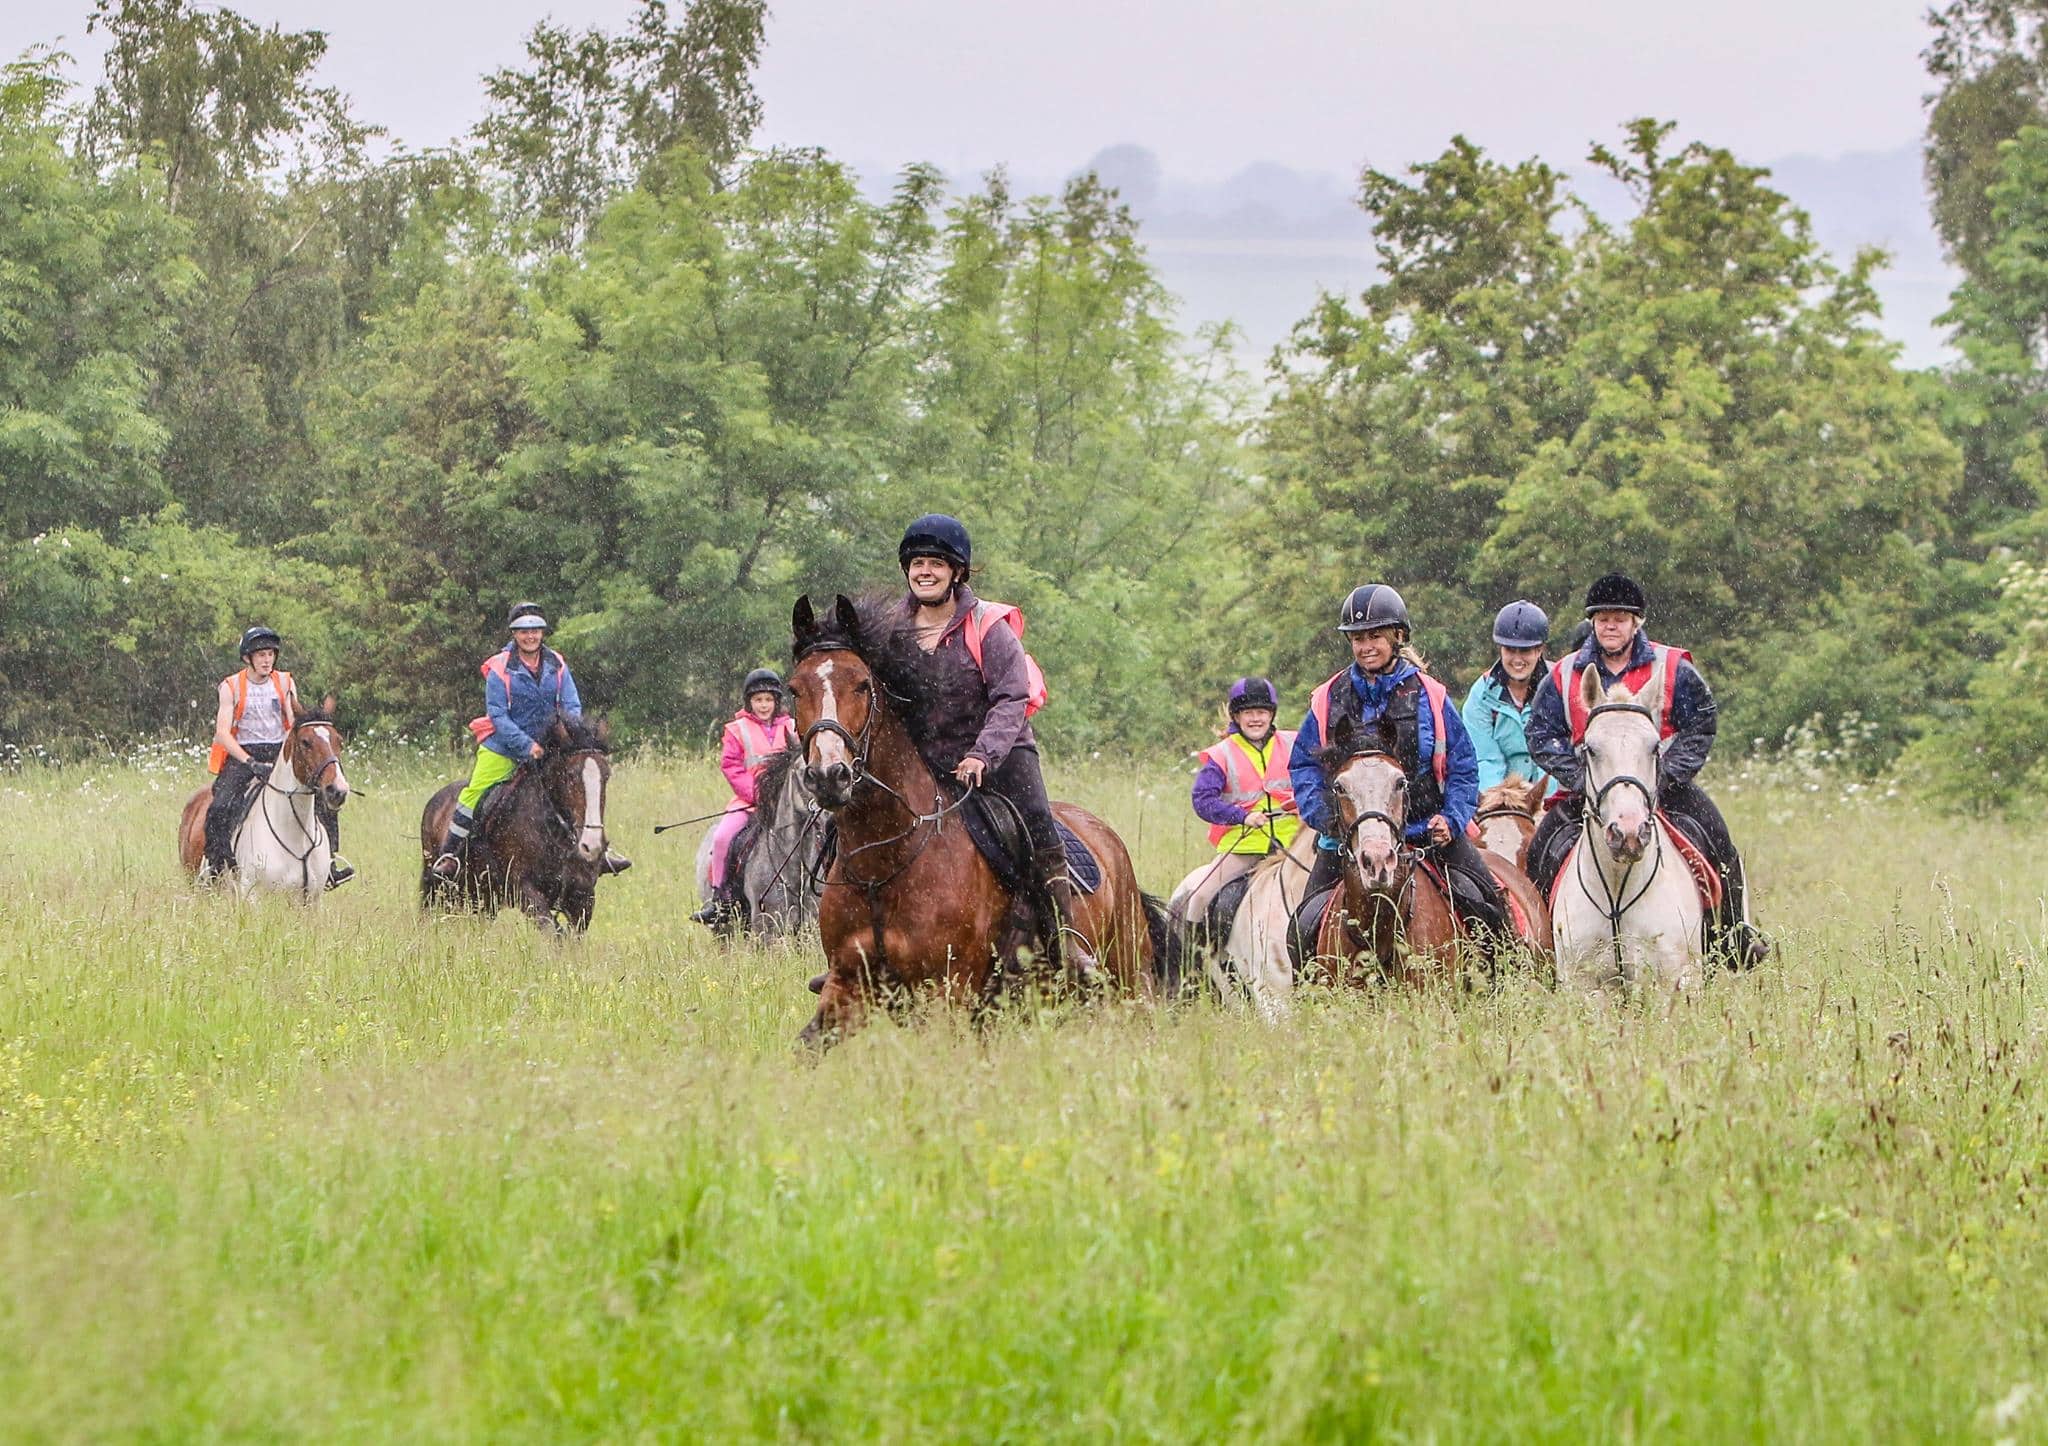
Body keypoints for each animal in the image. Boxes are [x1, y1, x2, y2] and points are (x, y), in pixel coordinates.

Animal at [411, 712, 610, 933]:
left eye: (606, 775)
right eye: (569, 775)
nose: (592, 846)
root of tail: (435, 801)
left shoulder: (582, 896)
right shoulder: (524, 890)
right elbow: (552, 931)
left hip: (485, 897)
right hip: (436, 884)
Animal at [786, 589, 1163, 1040]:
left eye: (862, 685)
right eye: (794, 690)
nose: (829, 775)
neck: (884, 863)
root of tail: (1108, 839)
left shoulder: (945, 990)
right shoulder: (846, 983)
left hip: (1130, 978)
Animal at [1548, 663, 1712, 991]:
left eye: (1654, 748)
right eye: (1591, 749)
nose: (1629, 834)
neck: (1616, 892)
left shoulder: (1664, 983)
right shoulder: (1584, 985)